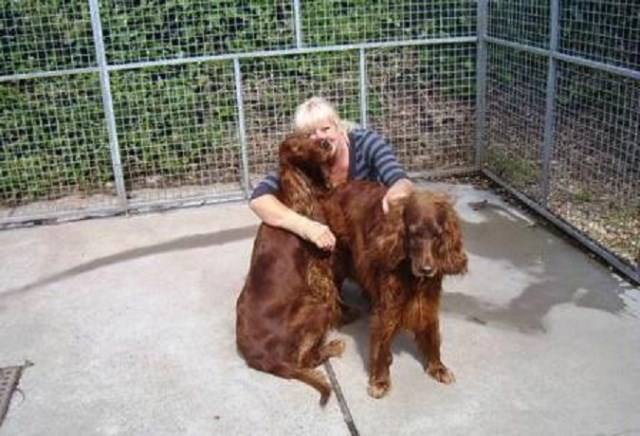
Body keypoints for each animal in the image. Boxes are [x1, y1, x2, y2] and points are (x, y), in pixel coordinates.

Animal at [235, 133, 344, 406]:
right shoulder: (321, 262)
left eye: (313, 136)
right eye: (296, 147)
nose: (326, 144)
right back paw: (333, 346)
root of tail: (262, 360)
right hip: (316, 307)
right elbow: (333, 291)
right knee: (306, 359)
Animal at [324, 181, 464, 398]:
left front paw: (437, 366)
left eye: (438, 234)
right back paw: (343, 312)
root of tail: (338, 188)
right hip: (339, 256)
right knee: (335, 285)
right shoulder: (388, 307)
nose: (427, 269)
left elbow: (432, 333)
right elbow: (382, 343)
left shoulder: (428, 299)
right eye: (413, 233)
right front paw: (380, 380)